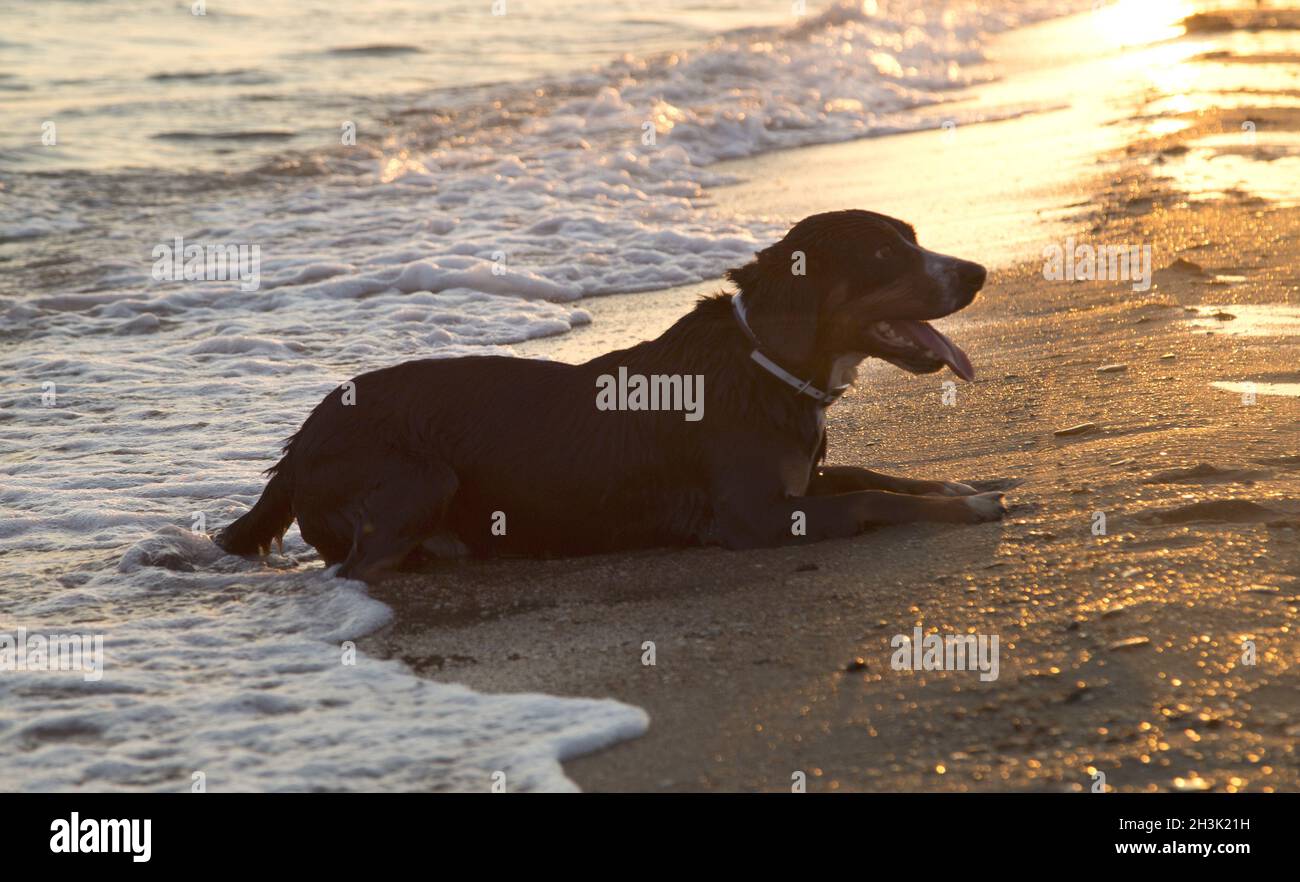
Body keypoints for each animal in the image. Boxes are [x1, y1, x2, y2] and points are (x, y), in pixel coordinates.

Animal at [215, 206, 1003, 580]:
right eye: (883, 254)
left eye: (911, 237)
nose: (977, 272)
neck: (764, 366)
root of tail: (299, 442)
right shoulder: (754, 516)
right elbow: (872, 498)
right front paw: (964, 507)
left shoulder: (800, 481)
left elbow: (875, 474)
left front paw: (962, 483)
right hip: (418, 475)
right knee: (354, 566)